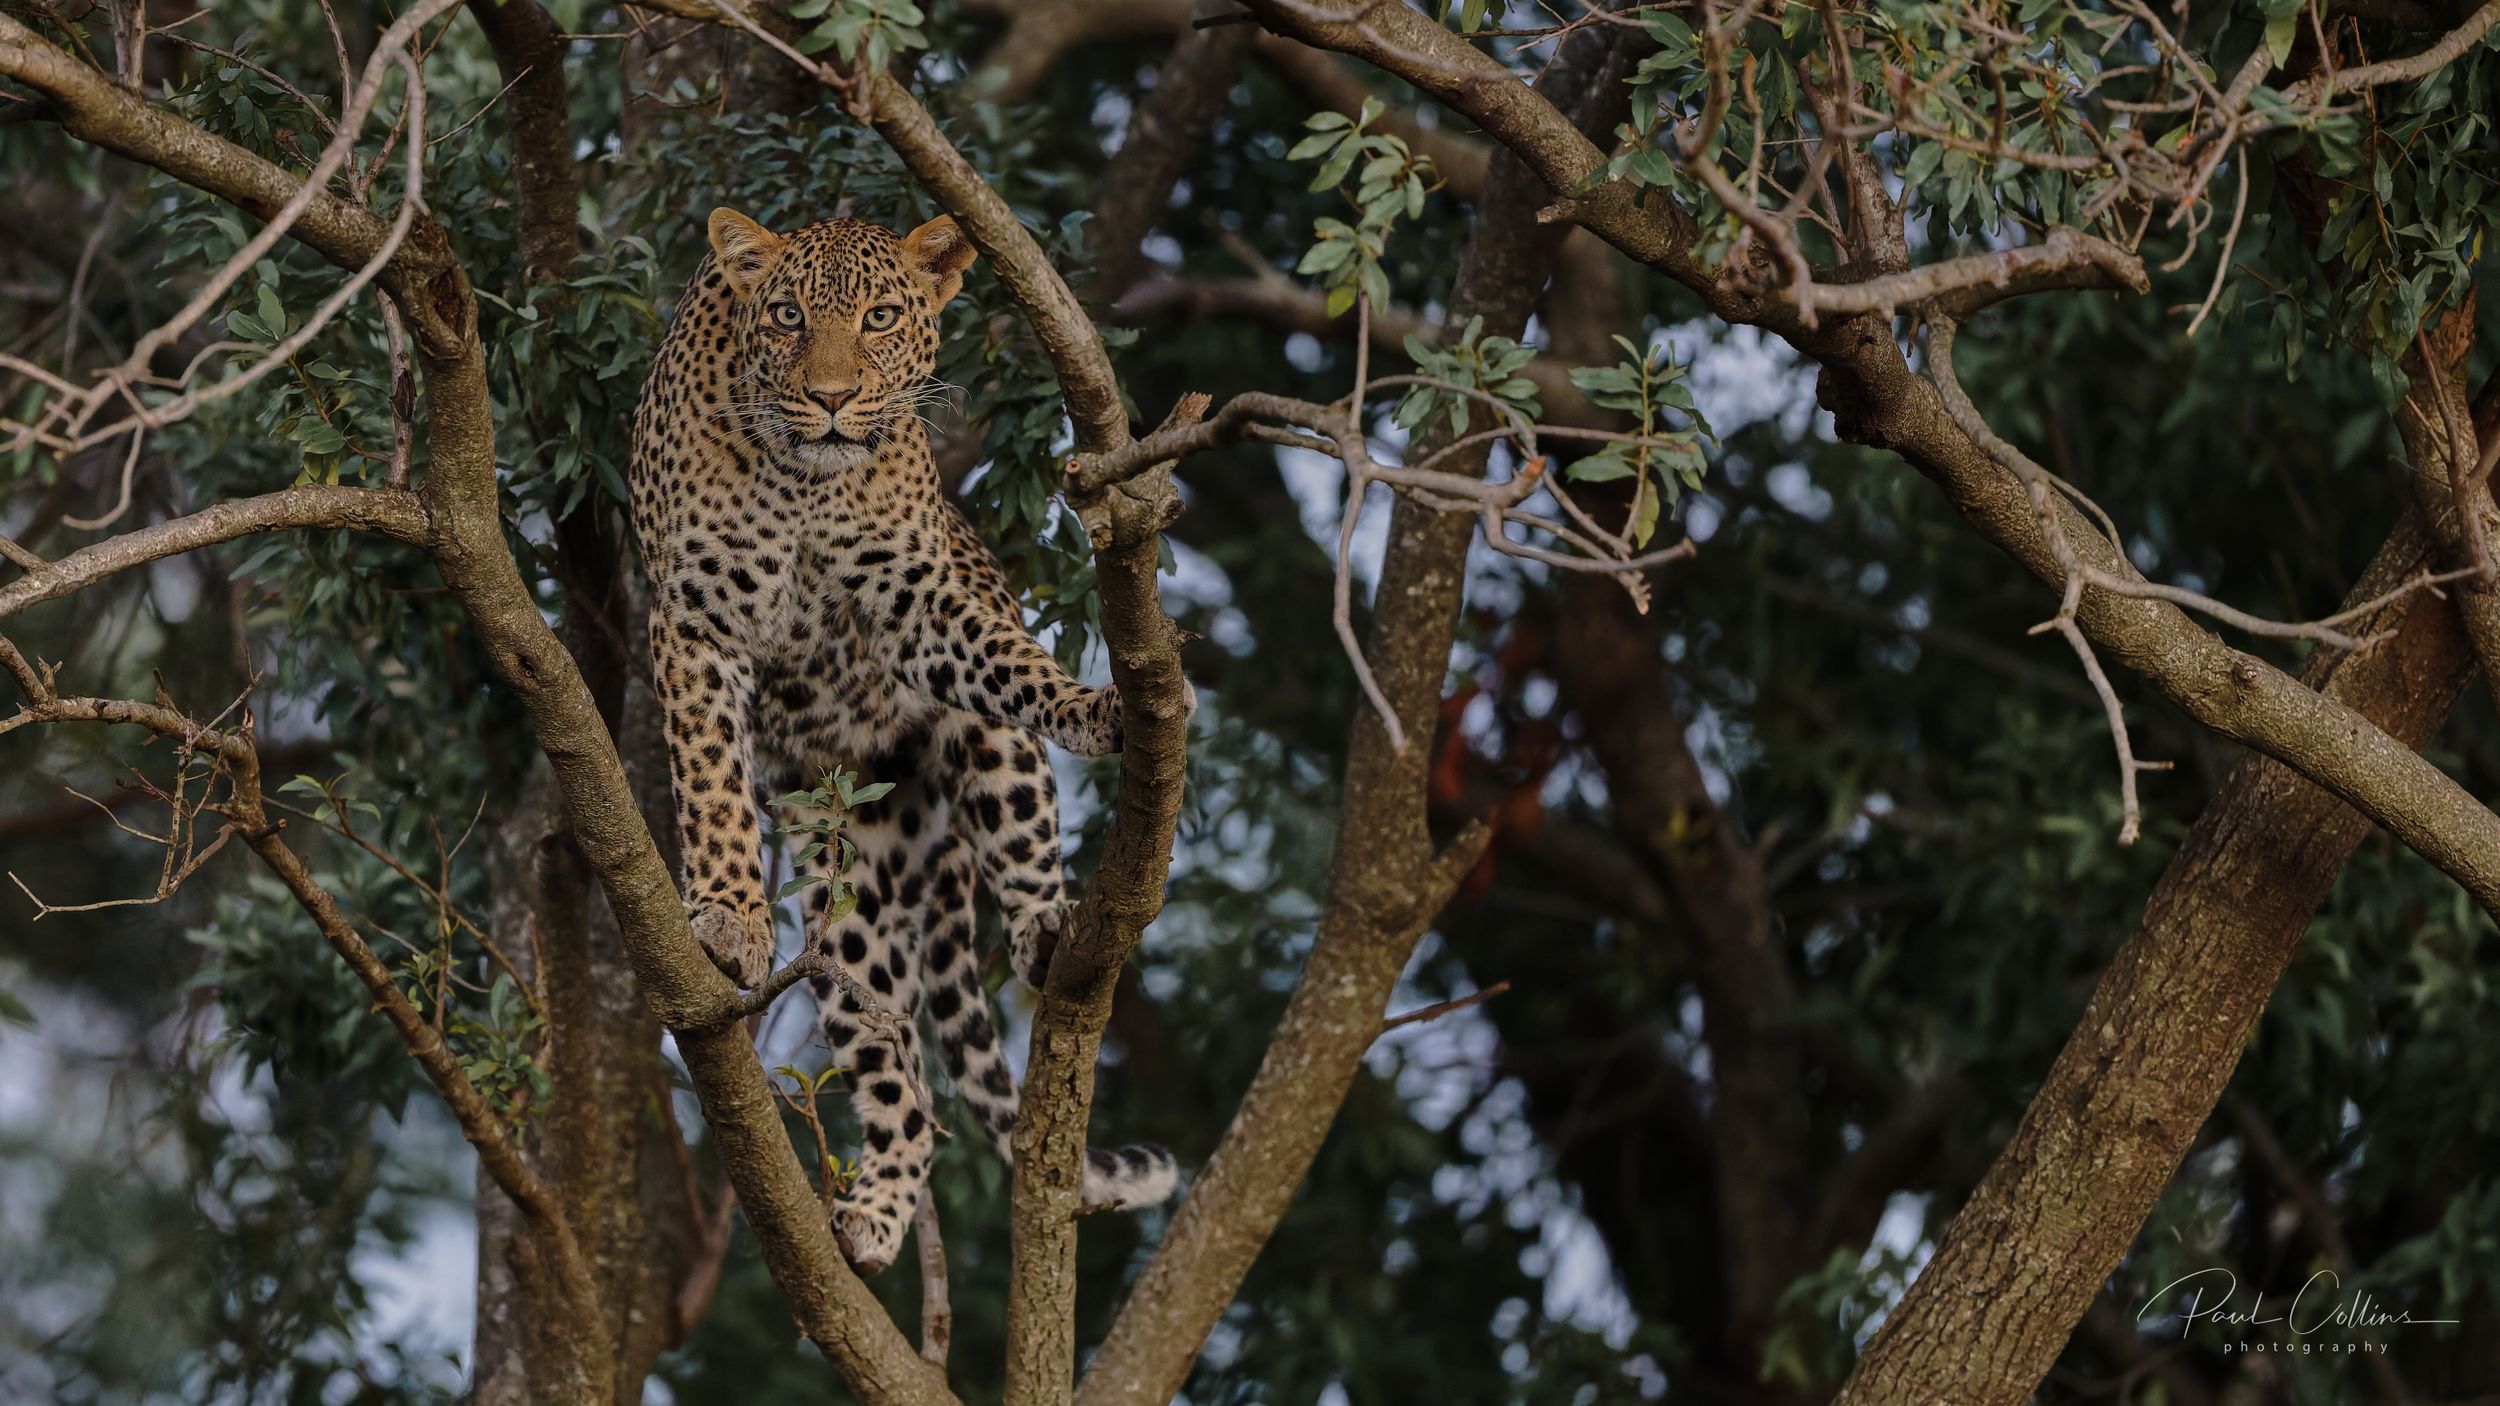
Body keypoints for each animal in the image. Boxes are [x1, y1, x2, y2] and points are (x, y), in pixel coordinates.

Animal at [626, 206, 1180, 1274]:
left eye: (882, 317)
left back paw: (1049, 927)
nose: (834, 399)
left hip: (993, 763)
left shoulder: (917, 602)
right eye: (788, 317)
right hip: (848, 901)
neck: (804, 483)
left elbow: (1008, 662)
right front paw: (728, 914)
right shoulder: (697, 622)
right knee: (904, 1085)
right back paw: (877, 1216)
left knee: (1021, 825)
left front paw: (1095, 707)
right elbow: (710, 780)